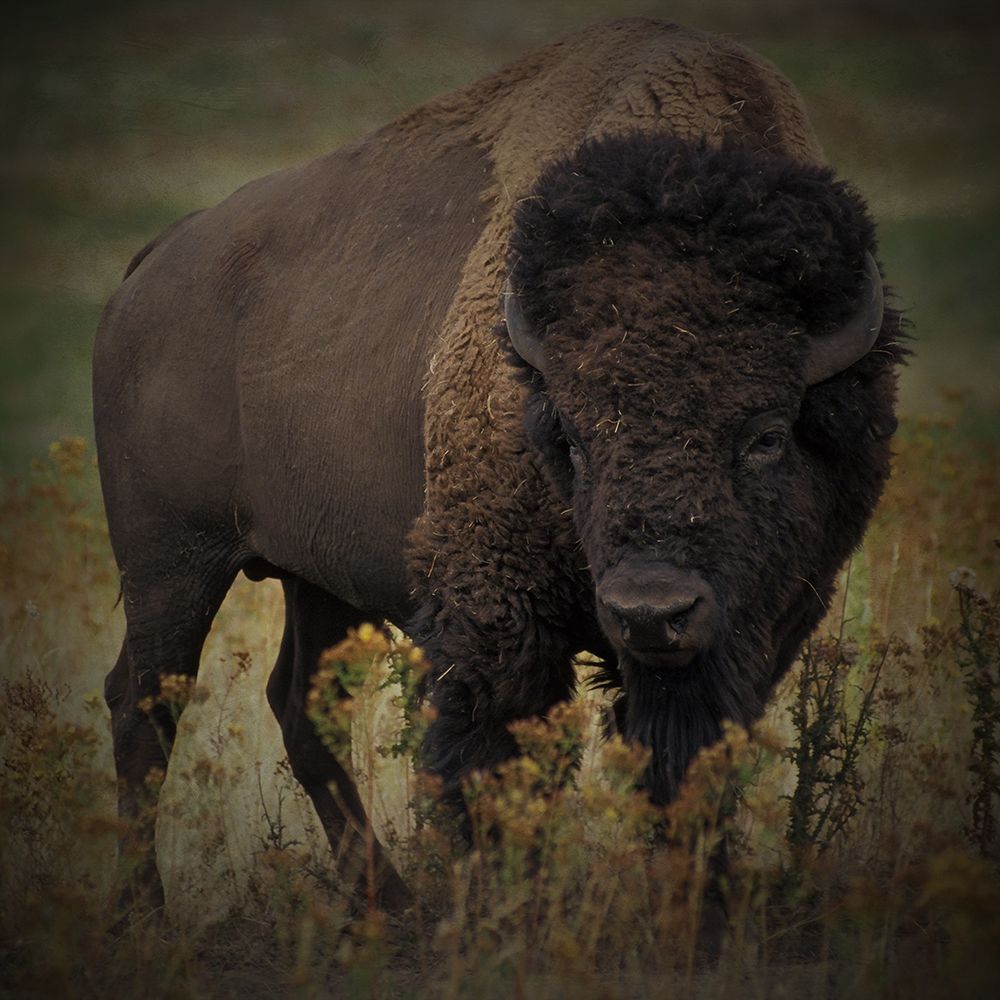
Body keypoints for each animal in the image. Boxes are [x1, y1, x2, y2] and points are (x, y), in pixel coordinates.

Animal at [94, 19, 905, 910]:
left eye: (766, 434)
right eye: (573, 438)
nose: (650, 611)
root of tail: (153, 264)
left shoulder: (761, 624)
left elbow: (687, 766)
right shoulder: (496, 616)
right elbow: (496, 765)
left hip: (315, 575)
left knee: (299, 705)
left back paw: (388, 903)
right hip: (172, 561)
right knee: (144, 703)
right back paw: (147, 908)